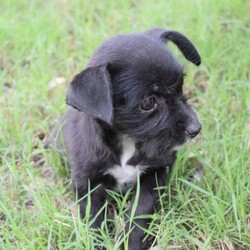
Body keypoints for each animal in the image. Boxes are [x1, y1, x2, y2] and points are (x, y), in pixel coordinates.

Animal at [61, 28, 202, 249]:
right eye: (148, 103)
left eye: (180, 88)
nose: (196, 128)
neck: (128, 141)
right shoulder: (85, 183)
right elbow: (92, 217)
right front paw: (97, 241)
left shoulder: (155, 174)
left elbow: (140, 210)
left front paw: (130, 241)